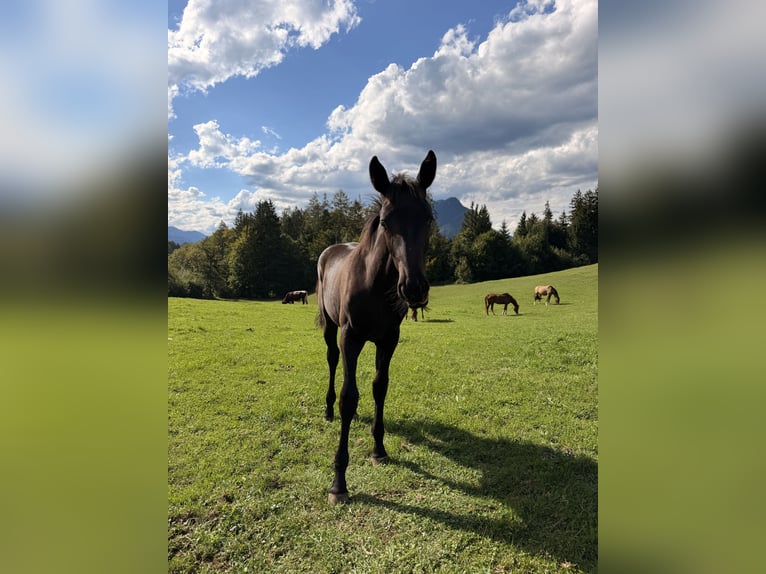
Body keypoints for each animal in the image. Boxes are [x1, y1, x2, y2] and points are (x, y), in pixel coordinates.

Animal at [316, 150, 436, 505]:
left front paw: (379, 449)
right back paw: (328, 410)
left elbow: (379, 387)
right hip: (330, 328)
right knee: (332, 362)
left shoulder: (388, 339)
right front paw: (338, 481)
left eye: (428, 218)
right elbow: (349, 396)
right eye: (385, 222)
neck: (375, 284)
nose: (414, 289)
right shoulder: (350, 337)